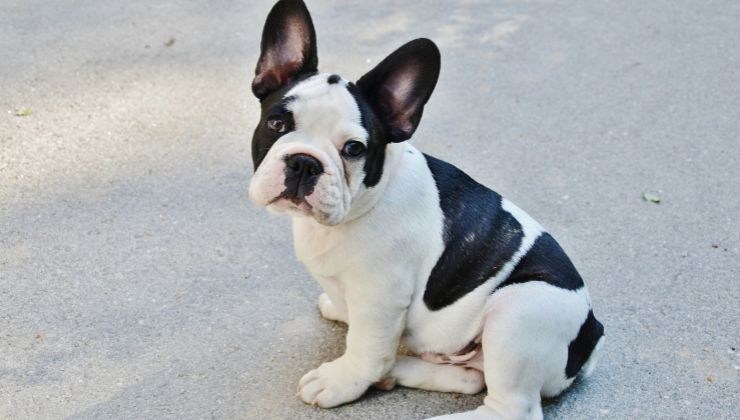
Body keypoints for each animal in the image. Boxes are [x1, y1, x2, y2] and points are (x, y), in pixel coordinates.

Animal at [246, 1, 604, 418]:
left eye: (354, 149)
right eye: (276, 123)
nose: (304, 162)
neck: (363, 203)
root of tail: (591, 335)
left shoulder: (380, 296)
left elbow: (366, 347)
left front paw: (340, 380)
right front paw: (338, 309)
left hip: (519, 310)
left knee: (511, 407)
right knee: (471, 378)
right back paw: (397, 371)